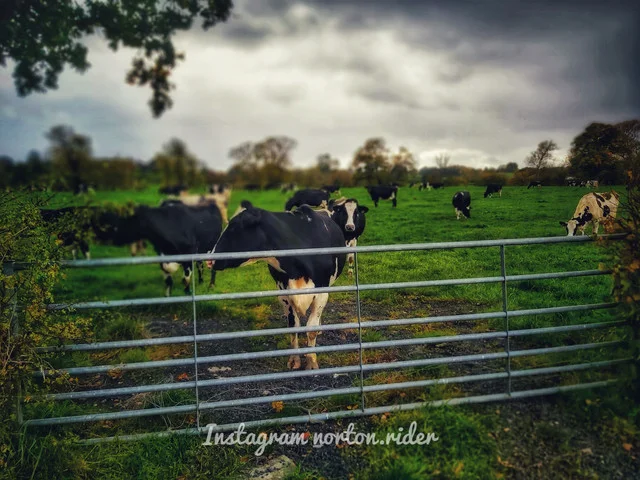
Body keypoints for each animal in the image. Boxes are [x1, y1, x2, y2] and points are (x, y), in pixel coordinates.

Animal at [206, 201, 348, 370]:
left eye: (234, 226)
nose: (209, 259)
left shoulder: (321, 292)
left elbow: (311, 329)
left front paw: (312, 362)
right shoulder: (284, 294)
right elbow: (293, 326)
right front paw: (294, 360)